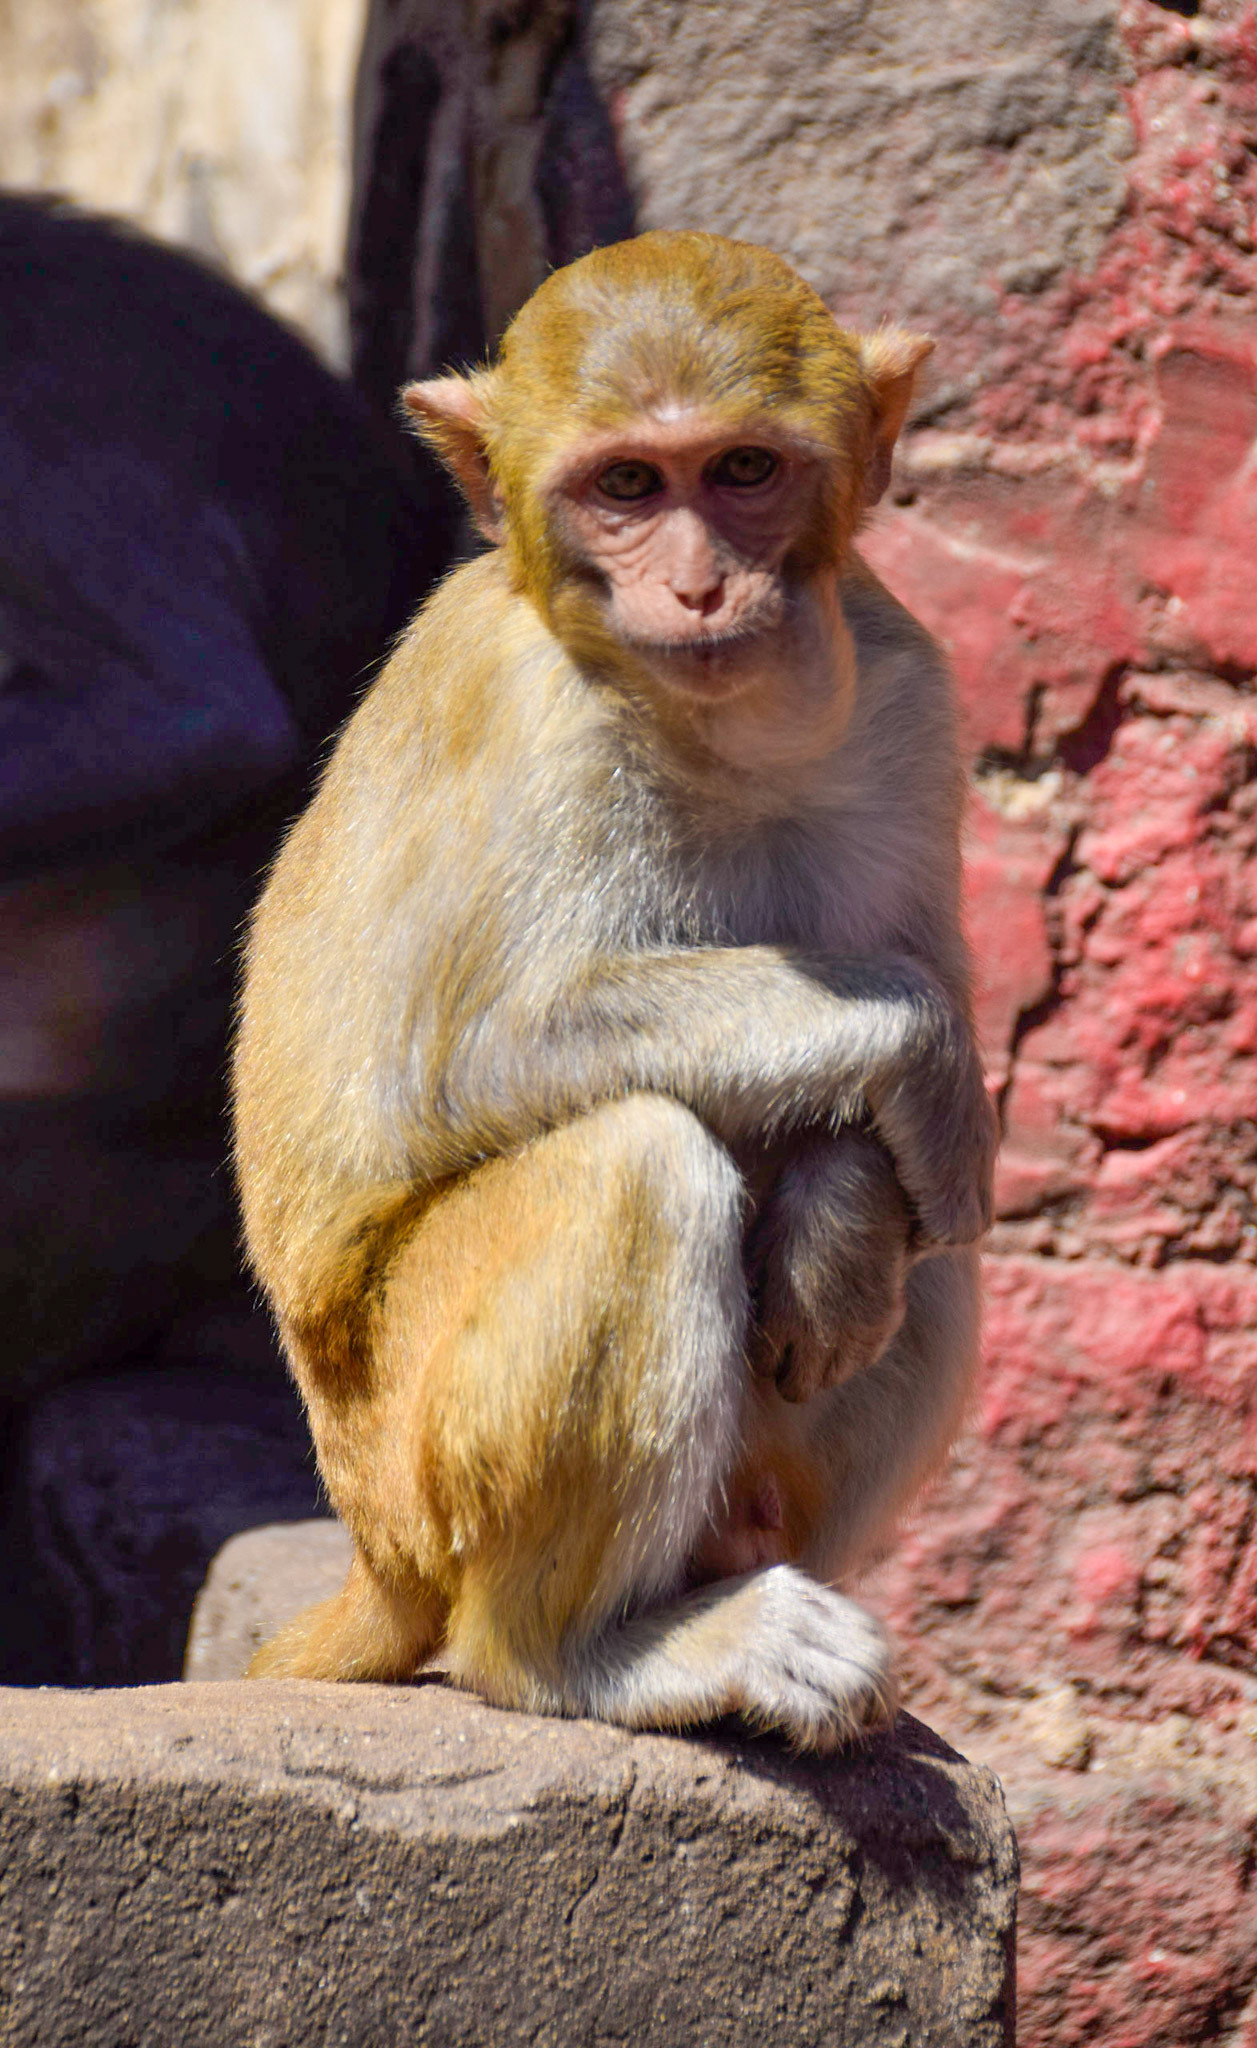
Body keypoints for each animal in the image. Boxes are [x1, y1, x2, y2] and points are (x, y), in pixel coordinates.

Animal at [235, 230, 997, 1752]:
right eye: (629, 487)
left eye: (744, 471)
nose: (697, 586)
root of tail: (369, 1551)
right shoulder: (535, 715)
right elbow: (481, 1055)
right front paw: (930, 1052)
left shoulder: (911, 691)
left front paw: (840, 1216)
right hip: (414, 1466)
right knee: (633, 1163)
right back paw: (588, 1652)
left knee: (938, 1259)